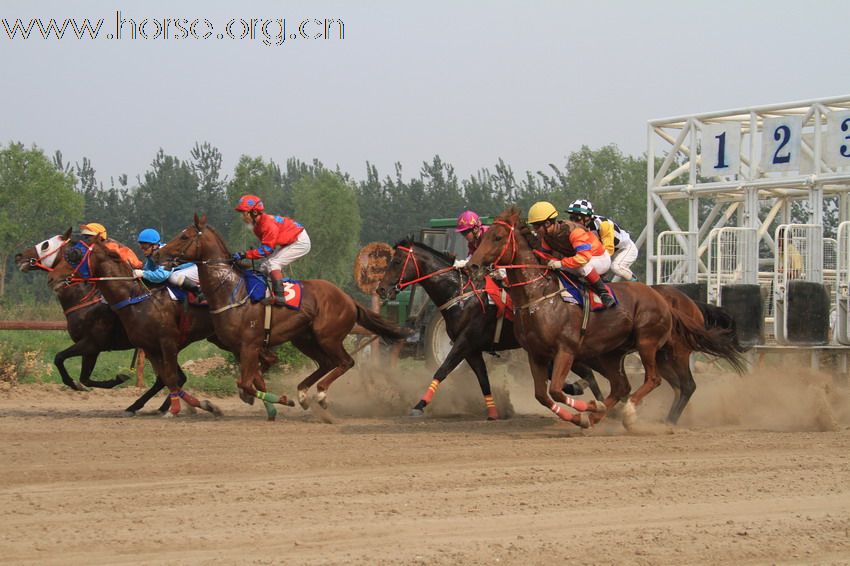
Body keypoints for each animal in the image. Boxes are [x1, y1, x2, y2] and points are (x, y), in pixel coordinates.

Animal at [78, 237, 222, 420]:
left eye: (80, 254)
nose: (68, 277)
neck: (138, 300)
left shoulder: (167, 342)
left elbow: (171, 377)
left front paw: (177, 408)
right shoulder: (150, 347)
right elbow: (168, 377)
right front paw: (201, 405)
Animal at [157, 213, 414, 418]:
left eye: (184, 236)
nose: (159, 254)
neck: (231, 290)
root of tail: (349, 299)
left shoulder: (250, 345)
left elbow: (247, 383)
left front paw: (280, 400)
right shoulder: (239, 347)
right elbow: (252, 379)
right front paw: (272, 399)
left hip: (328, 336)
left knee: (345, 362)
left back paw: (320, 395)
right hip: (304, 338)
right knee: (326, 363)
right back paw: (302, 395)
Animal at [372, 240, 604, 422]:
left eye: (397, 261)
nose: (381, 289)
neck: (460, 295)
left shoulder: (463, 342)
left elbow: (442, 369)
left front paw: (419, 405)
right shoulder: (472, 349)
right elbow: (483, 379)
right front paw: (492, 412)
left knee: (588, 372)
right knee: (585, 372)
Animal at [468, 209, 740, 430]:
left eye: (497, 237)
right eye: (481, 238)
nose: (472, 266)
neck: (539, 297)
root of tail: (663, 298)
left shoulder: (566, 350)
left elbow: (556, 390)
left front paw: (588, 408)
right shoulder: (536, 354)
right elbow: (543, 396)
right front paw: (584, 415)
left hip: (652, 343)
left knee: (658, 381)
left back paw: (635, 415)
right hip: (616, 353)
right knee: (624, 386)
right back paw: (604, 415)